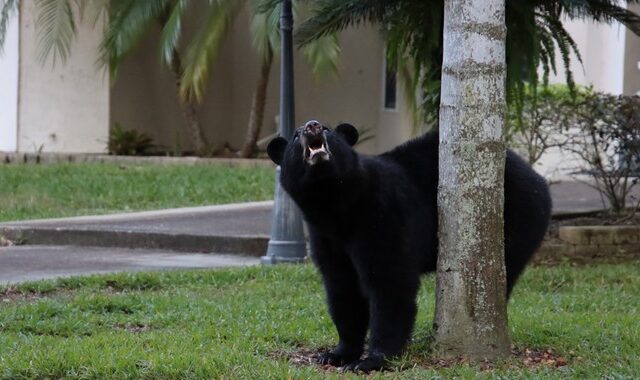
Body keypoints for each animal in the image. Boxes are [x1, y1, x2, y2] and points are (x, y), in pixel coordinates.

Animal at [264, 121, 552, 372]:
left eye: (326, 129)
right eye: (295, 135)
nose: (312, 126)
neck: (336, 204)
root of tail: (537, 177)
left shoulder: (382, 213)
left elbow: (389, 282)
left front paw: (371, 360)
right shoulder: (325, 237)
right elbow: (342, 288)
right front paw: (337, 353)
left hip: (518, 216)